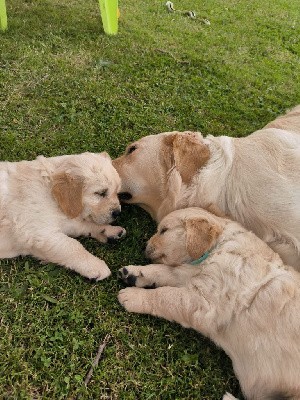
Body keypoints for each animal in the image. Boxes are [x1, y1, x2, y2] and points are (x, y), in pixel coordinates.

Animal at [0, 152, 126, 280]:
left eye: (117, 192)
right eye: (101, 193)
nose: (118, 212)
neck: (50, 191)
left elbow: (83, 225)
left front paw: (109, 230)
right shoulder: (37, 232)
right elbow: (72, 245)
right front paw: (96, 265)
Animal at [118, 206, 300, 400]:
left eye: (164, 230)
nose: (144, 247)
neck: (215, 248)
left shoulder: (202, 302)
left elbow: (164, 295)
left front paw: (132, 296)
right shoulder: (187, 274)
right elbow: (162, 271)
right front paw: (134, 273)